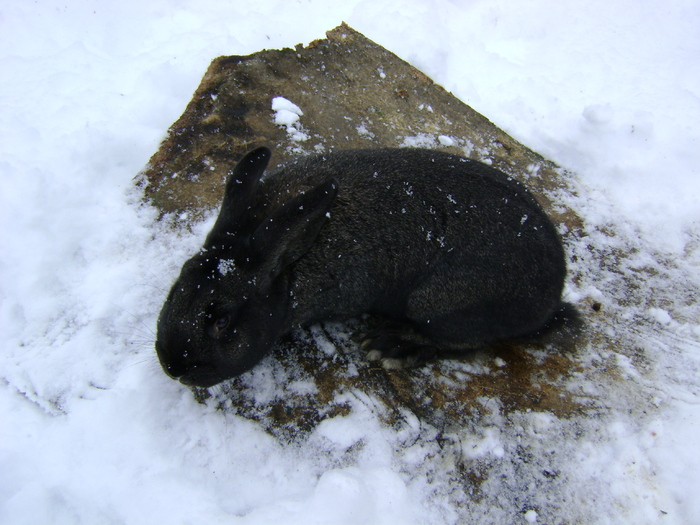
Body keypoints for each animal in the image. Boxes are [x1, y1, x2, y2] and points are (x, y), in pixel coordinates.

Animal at [156, 145, 576, 386]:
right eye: (175, 290)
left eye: (221, 321)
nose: (173, 366)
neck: (287, 271)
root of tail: (552, 295)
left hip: (436, 300)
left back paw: (390, 345)